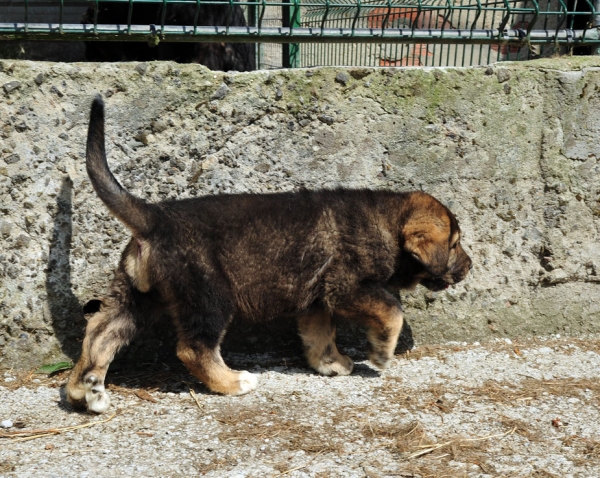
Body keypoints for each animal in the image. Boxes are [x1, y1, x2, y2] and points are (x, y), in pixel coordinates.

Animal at [64, 96, 468, 410]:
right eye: (454, 244)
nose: (469, 266)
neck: (386, 221)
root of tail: (155, 218)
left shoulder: (316, 299)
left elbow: (320, 334)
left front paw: (330, 363)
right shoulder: (345, 288)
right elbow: (392, 310)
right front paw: (382, 353)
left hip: (139, 296)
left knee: (100, 330)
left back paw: (85, 390)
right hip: (208, 296)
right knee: (192, 348)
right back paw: (232, 382)